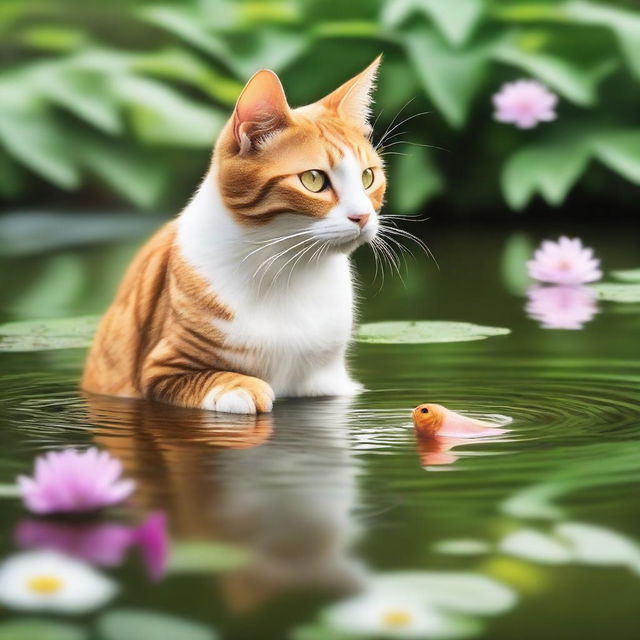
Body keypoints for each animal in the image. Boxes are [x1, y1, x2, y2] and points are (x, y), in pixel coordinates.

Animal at [82, 56, 388, 416]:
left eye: (367, 177)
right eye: (314, 180)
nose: (363, 216)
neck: (287, 269)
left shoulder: (331, 384)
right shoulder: (161, 367)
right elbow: (210, 378)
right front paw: (241, 388)